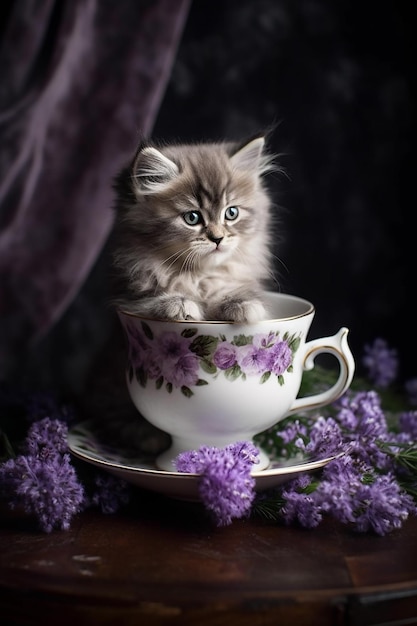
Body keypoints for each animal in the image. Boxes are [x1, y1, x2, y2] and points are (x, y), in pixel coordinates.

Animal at [110, 135, 276, 322]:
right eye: (192, 218)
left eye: (231, 213)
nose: (218, 238)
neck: (198, 275)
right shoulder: (127, 293)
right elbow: (147, 300)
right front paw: (178, 302)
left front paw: (240, 302)